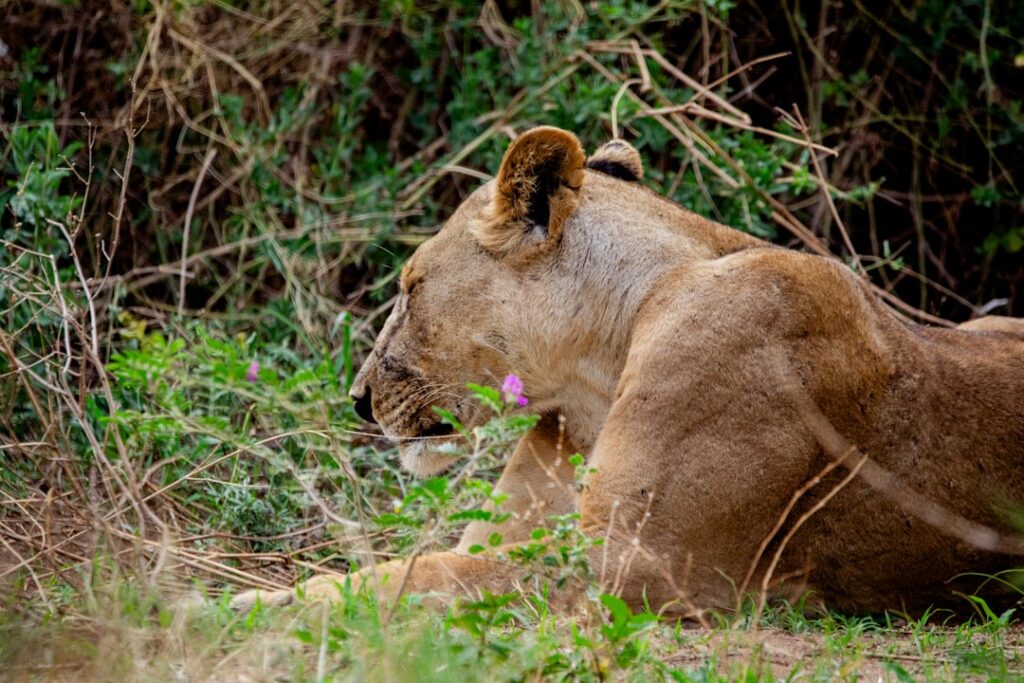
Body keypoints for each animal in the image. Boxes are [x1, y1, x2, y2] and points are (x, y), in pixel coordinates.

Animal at [233, 127, 1024, 617]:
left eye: (411, 286)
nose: (358, 400)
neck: (596, 372)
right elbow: (425, 566)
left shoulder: (629, 565)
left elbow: (414, 576)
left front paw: (241, 606)